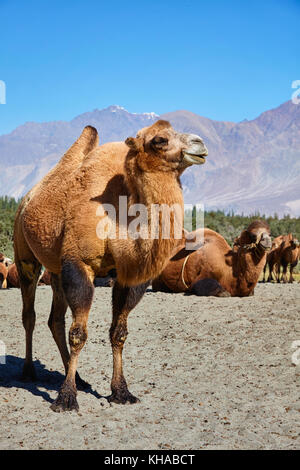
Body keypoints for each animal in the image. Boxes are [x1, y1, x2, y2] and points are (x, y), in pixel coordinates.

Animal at [12, 120, 207, 412]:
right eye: (159, 140)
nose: (200, 143)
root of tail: (27, 199)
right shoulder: (79, 264)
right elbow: (78, 333)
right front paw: (65, 398)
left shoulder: (128, 275)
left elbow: (119, 333)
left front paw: (121, 391)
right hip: (25, 255)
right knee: (30, 315)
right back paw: (28, 372)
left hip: (56, 269)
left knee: (55, 319)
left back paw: (79, 378)